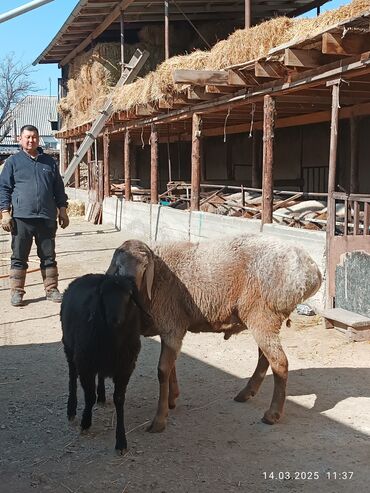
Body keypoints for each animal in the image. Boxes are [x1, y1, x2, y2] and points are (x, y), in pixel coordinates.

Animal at [106, 234, 320, 430]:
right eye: (119, 268)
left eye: (144, 268)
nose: (131, 290)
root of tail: (311, 271)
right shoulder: (170, 327)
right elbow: (171, 365)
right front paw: (172, 399)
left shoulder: (171, 324)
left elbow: (162, 370)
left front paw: (159, 420)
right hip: (262, 318)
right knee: (265, 357)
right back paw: (246, 393)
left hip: (264, 315)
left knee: (279, 362)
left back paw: (272, 414)